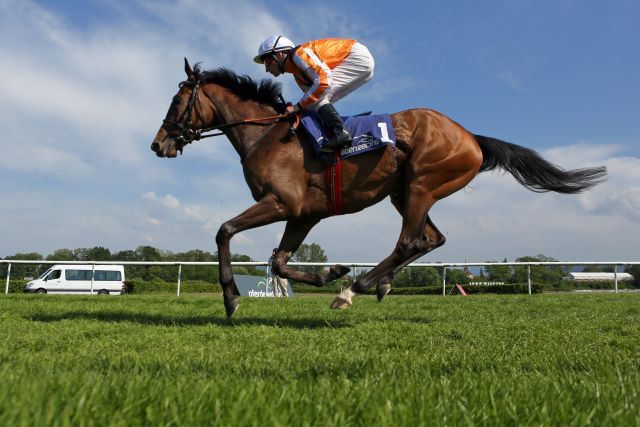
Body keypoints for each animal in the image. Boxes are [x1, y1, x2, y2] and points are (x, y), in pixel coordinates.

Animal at [150, 58, 604, 318]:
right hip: (406, 192)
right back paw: (377, 283)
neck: (267, 134)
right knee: (431, 239)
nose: (158, 144)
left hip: (422, 183)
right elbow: (278, 262)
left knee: (411, 241)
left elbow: (224, 231)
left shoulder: (282, 203)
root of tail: (471, 137)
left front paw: (231, 297)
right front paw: (331, 272)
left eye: (176, 103)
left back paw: (356, 290)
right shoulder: (304, 213)